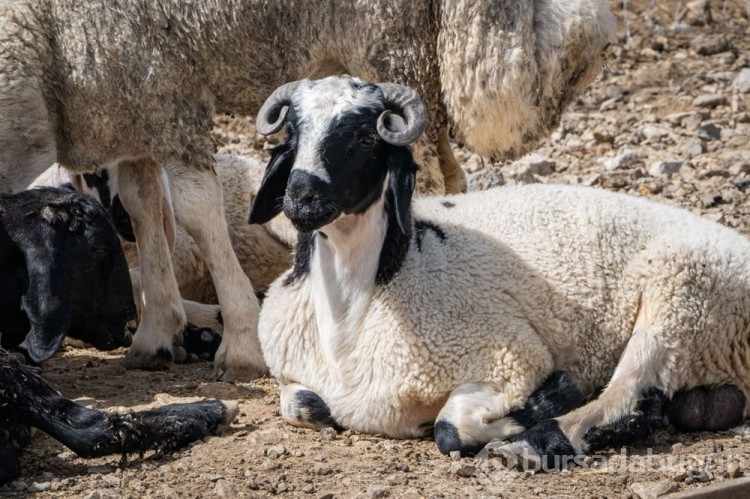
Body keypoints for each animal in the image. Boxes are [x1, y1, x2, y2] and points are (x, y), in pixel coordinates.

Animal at [251, 76, 750, 470]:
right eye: (294, 135)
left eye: (367, 139)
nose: (301, 196)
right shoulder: (289, 371)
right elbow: (301, 405)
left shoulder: (511, 357)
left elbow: (451, 428)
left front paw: (550, 397)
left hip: (682, 297)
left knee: (630, 402)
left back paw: (530, 445)